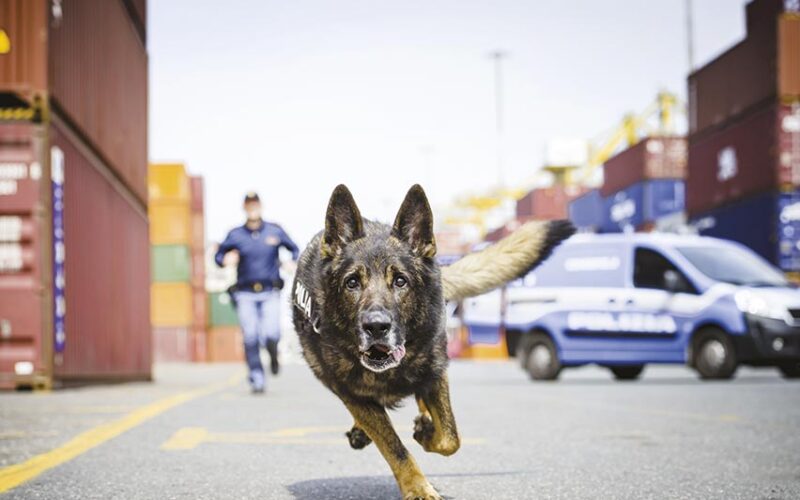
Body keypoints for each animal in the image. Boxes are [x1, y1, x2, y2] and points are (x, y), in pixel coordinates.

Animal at [290, 185, 572, 500]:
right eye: (352, 283)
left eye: (400, 281)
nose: (376, 326)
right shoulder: (353, 395)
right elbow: (395, 448)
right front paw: (418, 487)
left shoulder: (435, 372)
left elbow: (450, 437)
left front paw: (427, 434)